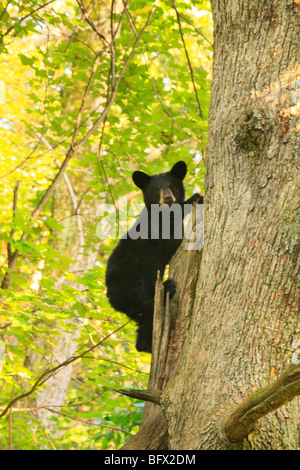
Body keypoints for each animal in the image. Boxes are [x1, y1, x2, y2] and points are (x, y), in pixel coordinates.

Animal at [104, 162, 203, 352]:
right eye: (157, 188)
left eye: (171, 185)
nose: (168, 198)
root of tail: (112, 297)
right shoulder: (157, 230)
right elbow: (171, 238)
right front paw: (194, 198)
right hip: (137, 282)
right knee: (149, 300)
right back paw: (168, 287)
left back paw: (146, 345)